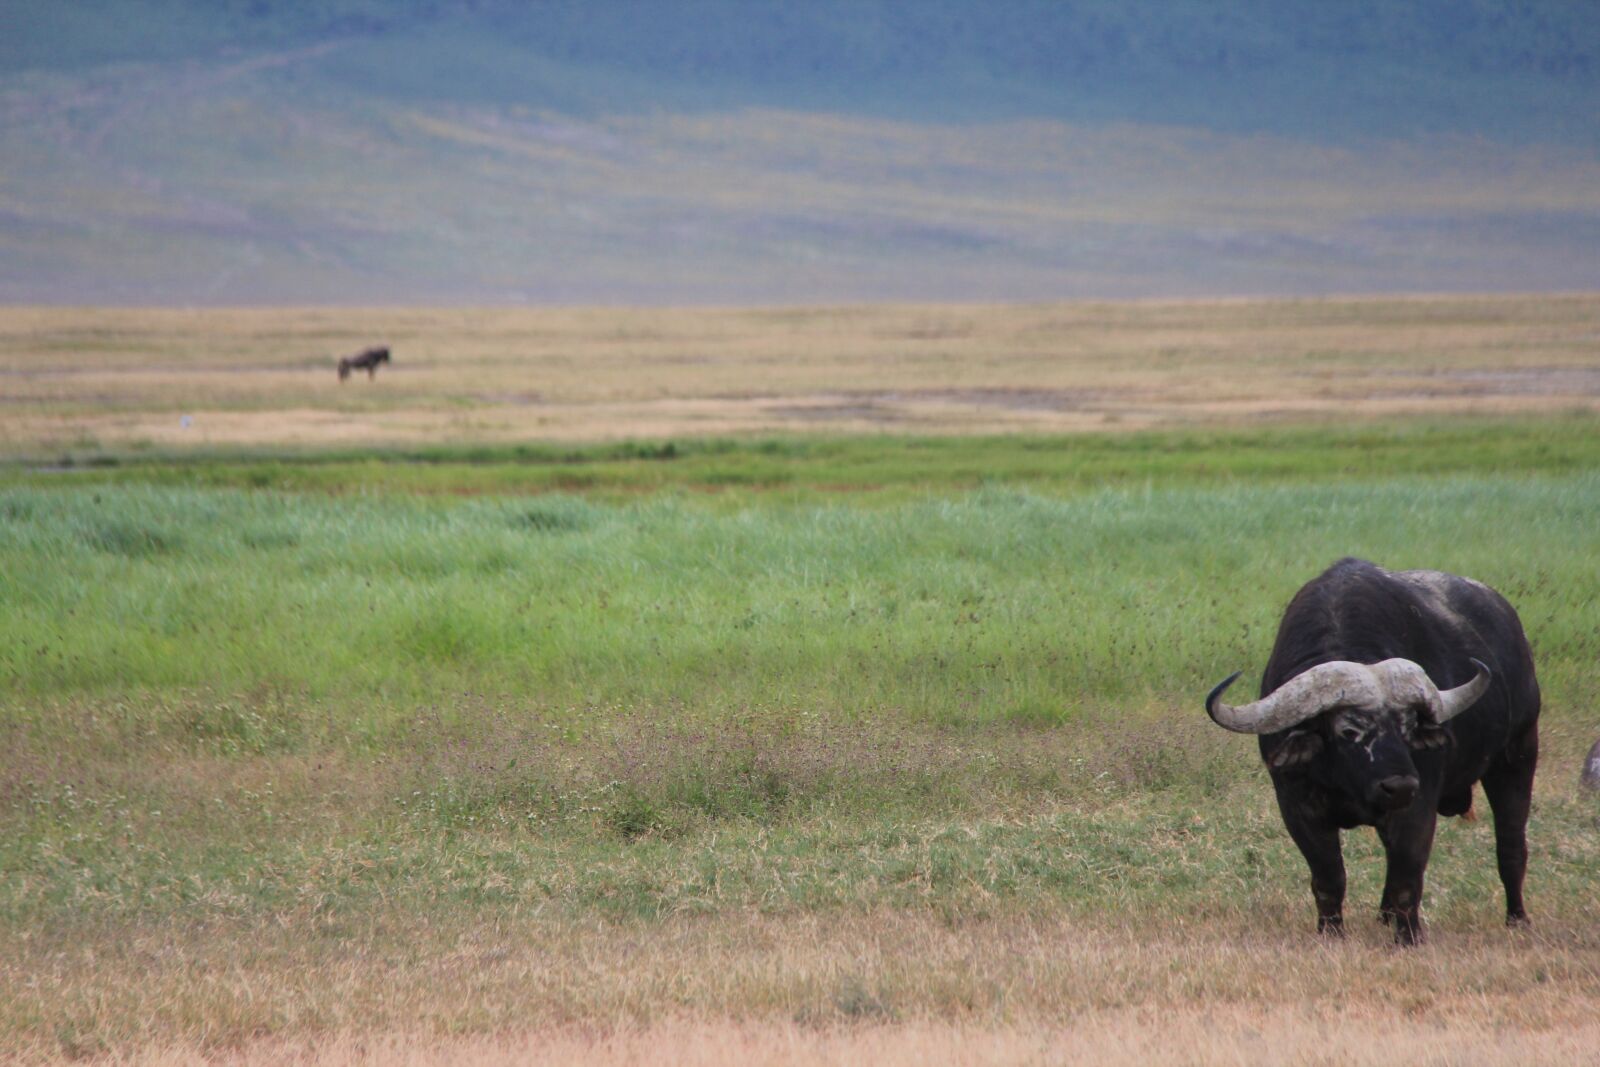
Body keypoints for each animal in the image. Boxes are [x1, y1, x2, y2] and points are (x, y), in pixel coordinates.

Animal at [1205, 558, 1539, 944]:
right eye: (1349, 730)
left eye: (1408, 727)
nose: (1400, 785)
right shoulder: (1297, 807)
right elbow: (1329, 878)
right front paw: (1331, 932)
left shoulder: (1417, 807)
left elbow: (1408, 876)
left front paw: (1409, 938)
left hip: (1517, 756)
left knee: (1511, 846)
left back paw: (1517, 918)